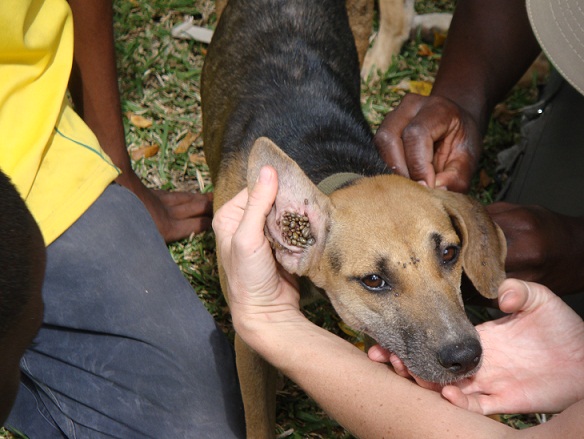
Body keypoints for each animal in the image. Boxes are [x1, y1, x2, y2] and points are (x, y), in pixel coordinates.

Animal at [202, 0, 506, 436]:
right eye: (373, 280)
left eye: (450, 254)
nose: (465, 356)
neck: (331, 164)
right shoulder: (249, 340)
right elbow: (259, 420)